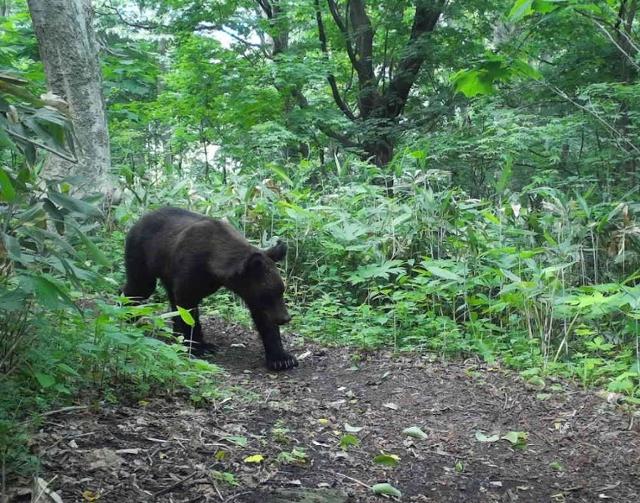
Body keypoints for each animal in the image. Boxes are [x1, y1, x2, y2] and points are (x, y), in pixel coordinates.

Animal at [122, 208, 298, 370]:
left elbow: (263, 317)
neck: (213, 264)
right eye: (268, 294)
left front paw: (282, 359)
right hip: (142, 255)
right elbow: (188, 310)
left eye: (281, 290)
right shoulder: (189, 270)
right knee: (140, 287)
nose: (285, 318)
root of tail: (139, 220)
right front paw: (198, 347)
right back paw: (128, 315)